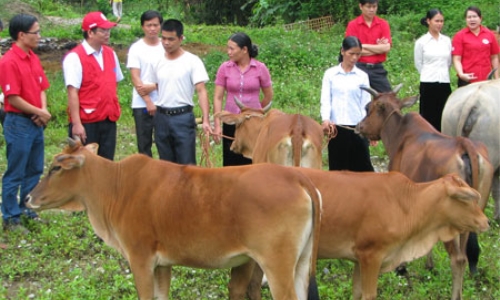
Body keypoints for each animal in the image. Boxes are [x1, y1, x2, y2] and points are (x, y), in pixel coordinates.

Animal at [27, 138, 322, 300]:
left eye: (56, 167)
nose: (28, 197)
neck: (116, 187)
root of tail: (296, 176)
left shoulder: (140, 258)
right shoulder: (162, 263)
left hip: (277, 265)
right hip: (301, 263)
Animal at [234, 170, 488, 298]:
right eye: (465, 199)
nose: (485, 222)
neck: (407, 204)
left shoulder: (358, 259)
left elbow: (356, 293)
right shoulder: (371, 255)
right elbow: (368, 295)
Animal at [356, 84, 492, 300]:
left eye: (368, 107)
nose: (359, 127)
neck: (398, 135)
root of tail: (465, 144)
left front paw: (401, 266)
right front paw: (428, 264)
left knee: (458, 259)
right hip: (473, 212)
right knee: (464, 254)